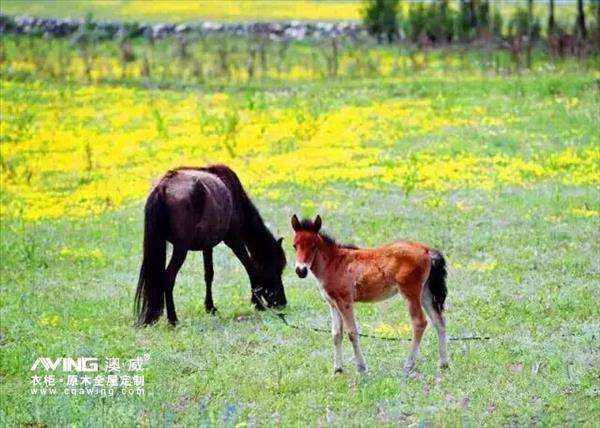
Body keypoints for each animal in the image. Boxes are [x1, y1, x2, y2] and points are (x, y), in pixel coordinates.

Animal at [134, 164, 288, 324]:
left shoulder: (207, 245)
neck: (234, 195)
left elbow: (209, 274)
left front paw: (210, 307)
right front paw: (257, 303)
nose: (282, 302)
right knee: (169, 277)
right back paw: (173, 319)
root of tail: (163, 187)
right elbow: (250, 267)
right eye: (276, 268)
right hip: (181, 247)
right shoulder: (234, 239)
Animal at [290, 216, 446, 372]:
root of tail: (426, 250)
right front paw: (338, 369)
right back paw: (444, 364)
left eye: (313, 245)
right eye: (294, 246)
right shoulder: (333, 304)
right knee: (439, 321)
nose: (301, 271)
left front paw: (361, 368)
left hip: (411, 293)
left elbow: (352, 332)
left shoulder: (344, 301)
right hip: (425, 292)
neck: (333, 263)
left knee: (419, 322)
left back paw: (408, 365)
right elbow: (336, 334)